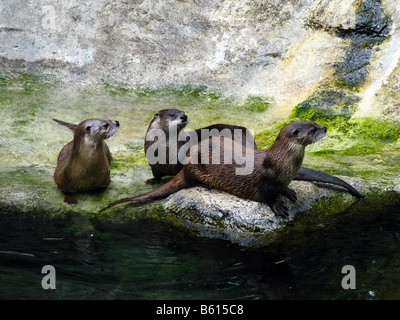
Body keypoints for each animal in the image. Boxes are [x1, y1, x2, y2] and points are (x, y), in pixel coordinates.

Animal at [143, 109, 362, 199]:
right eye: (172, 114)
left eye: (182, 112)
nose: (184, 116)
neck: (164, 151)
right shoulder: (154, 163)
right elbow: (156, 174)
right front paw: (152, 181)